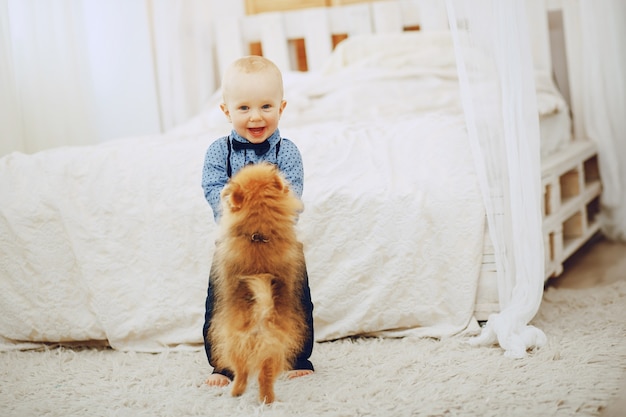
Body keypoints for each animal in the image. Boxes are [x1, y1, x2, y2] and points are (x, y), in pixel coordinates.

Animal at [207, 162, 308, 404]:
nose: (271, 164)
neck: (259, 234)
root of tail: (261, 313)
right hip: (274, 347)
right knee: (265, 374)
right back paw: (265, 399)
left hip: (233, 342)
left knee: (242, 370)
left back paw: (236, 391)